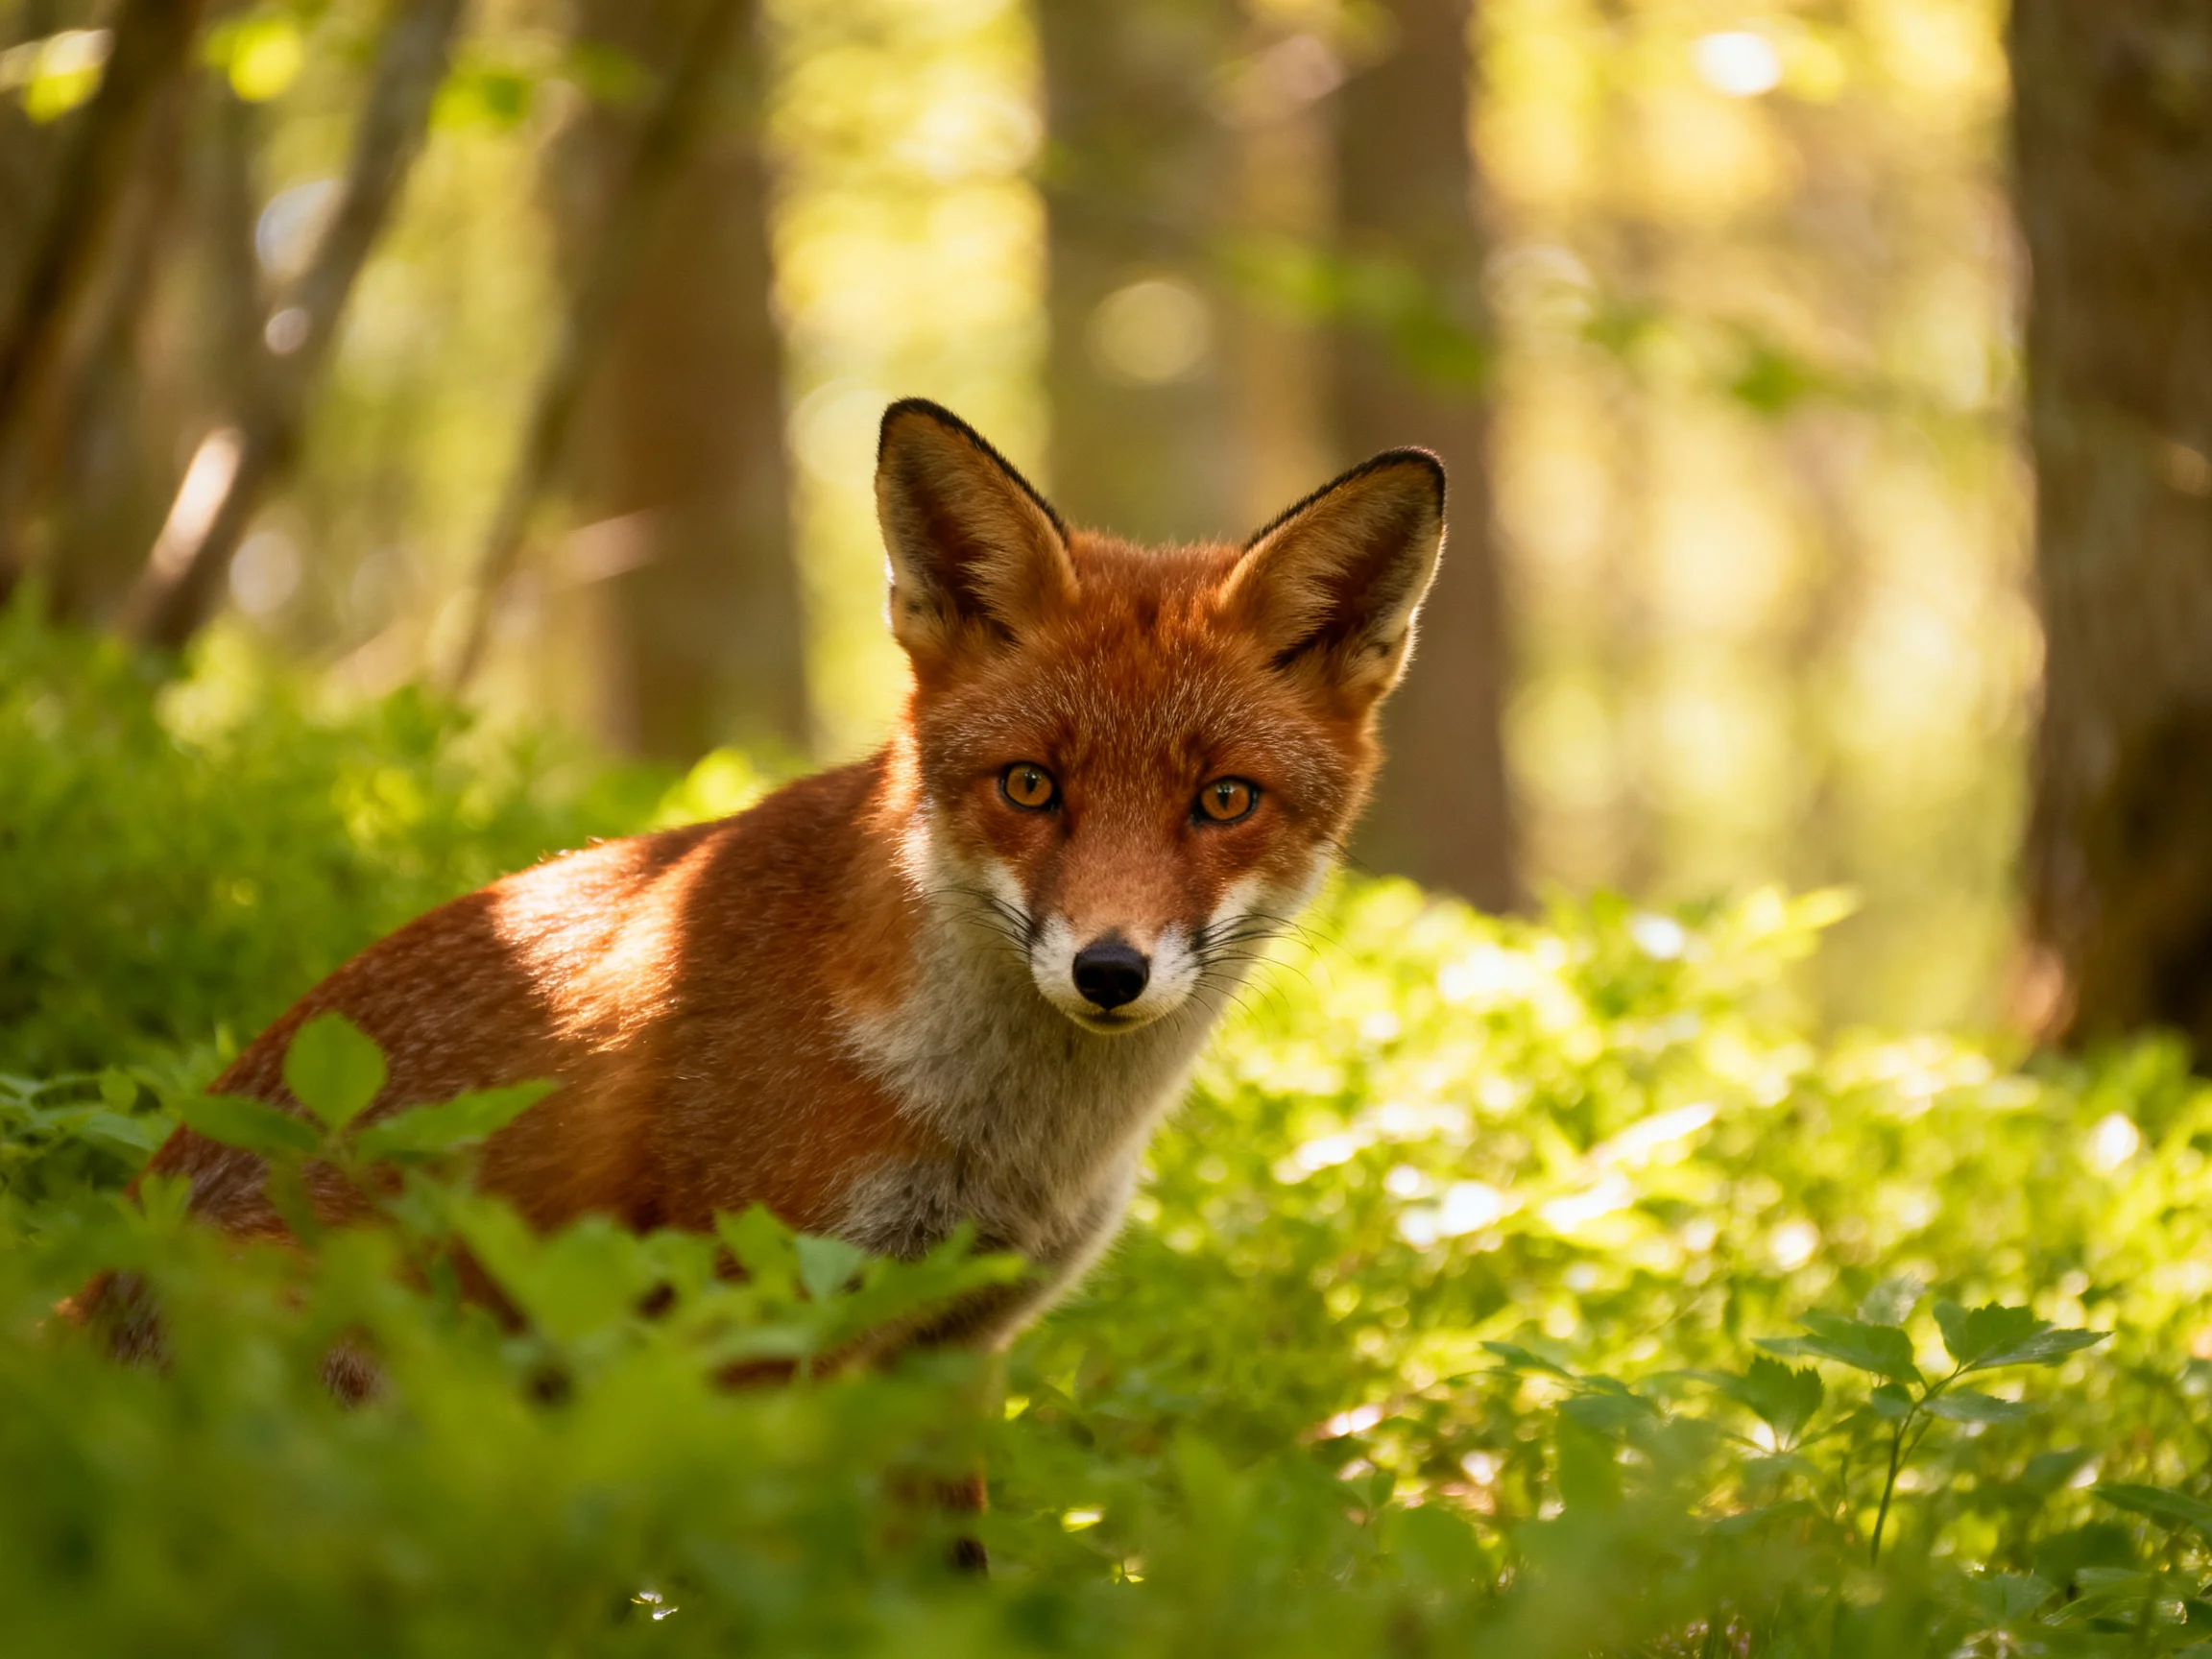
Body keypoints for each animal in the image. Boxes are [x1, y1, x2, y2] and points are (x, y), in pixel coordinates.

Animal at [126, 397, 1446, 1356]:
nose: (1108, 971)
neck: (1003, 1139)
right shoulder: (744, 1312)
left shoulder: (946, 1353)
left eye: (1223, 799)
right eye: (1030, 786)